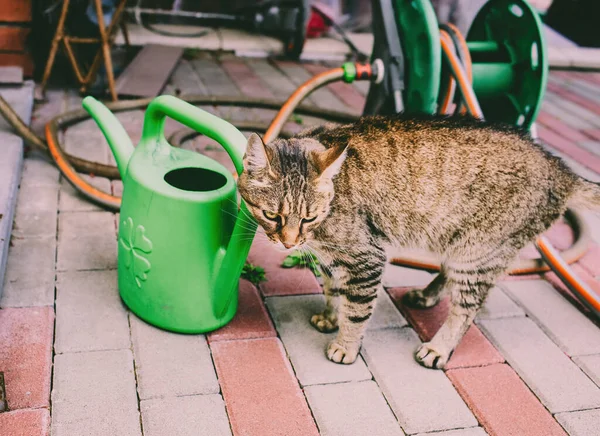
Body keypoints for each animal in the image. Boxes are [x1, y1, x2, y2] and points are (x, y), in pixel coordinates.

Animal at [237, 115, 596, 368]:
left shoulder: (367, 259)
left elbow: (356, 311)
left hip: (477, 253)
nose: (288, 243)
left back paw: (438, 348)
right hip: (459, 243)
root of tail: (561, 169)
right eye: (272, 215)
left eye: (308, 218)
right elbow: (332, 289)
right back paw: (426, 295)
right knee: (449, 277)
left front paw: (346, 345)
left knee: (466, 310)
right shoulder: (332, 258)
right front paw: (330, 316)